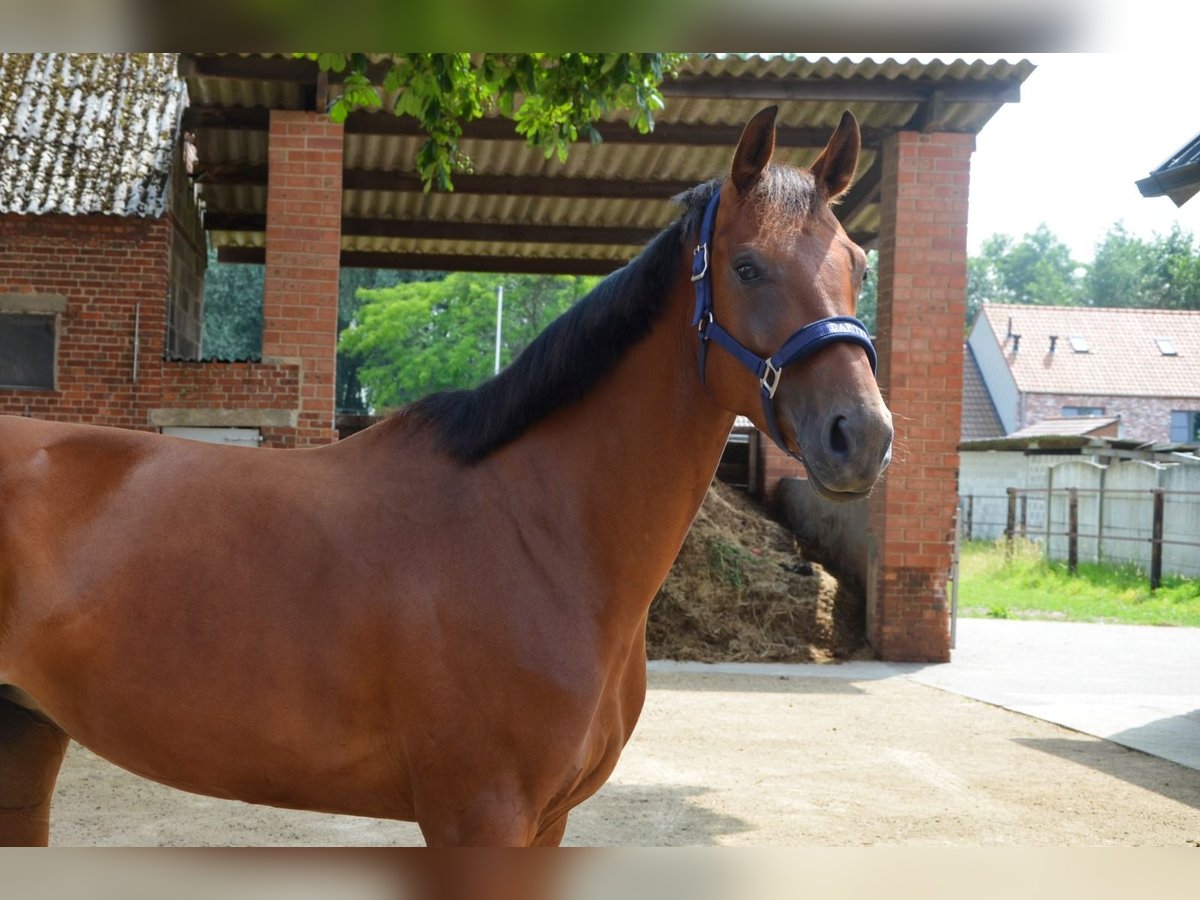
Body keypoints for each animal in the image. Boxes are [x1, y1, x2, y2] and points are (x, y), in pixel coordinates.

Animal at [0, 109, 892, 849]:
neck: (535, 534)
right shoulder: (479, 817)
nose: (863, 436)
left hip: (28, 738)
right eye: (747, 268)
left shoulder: (547, 823)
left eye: (856, 263)